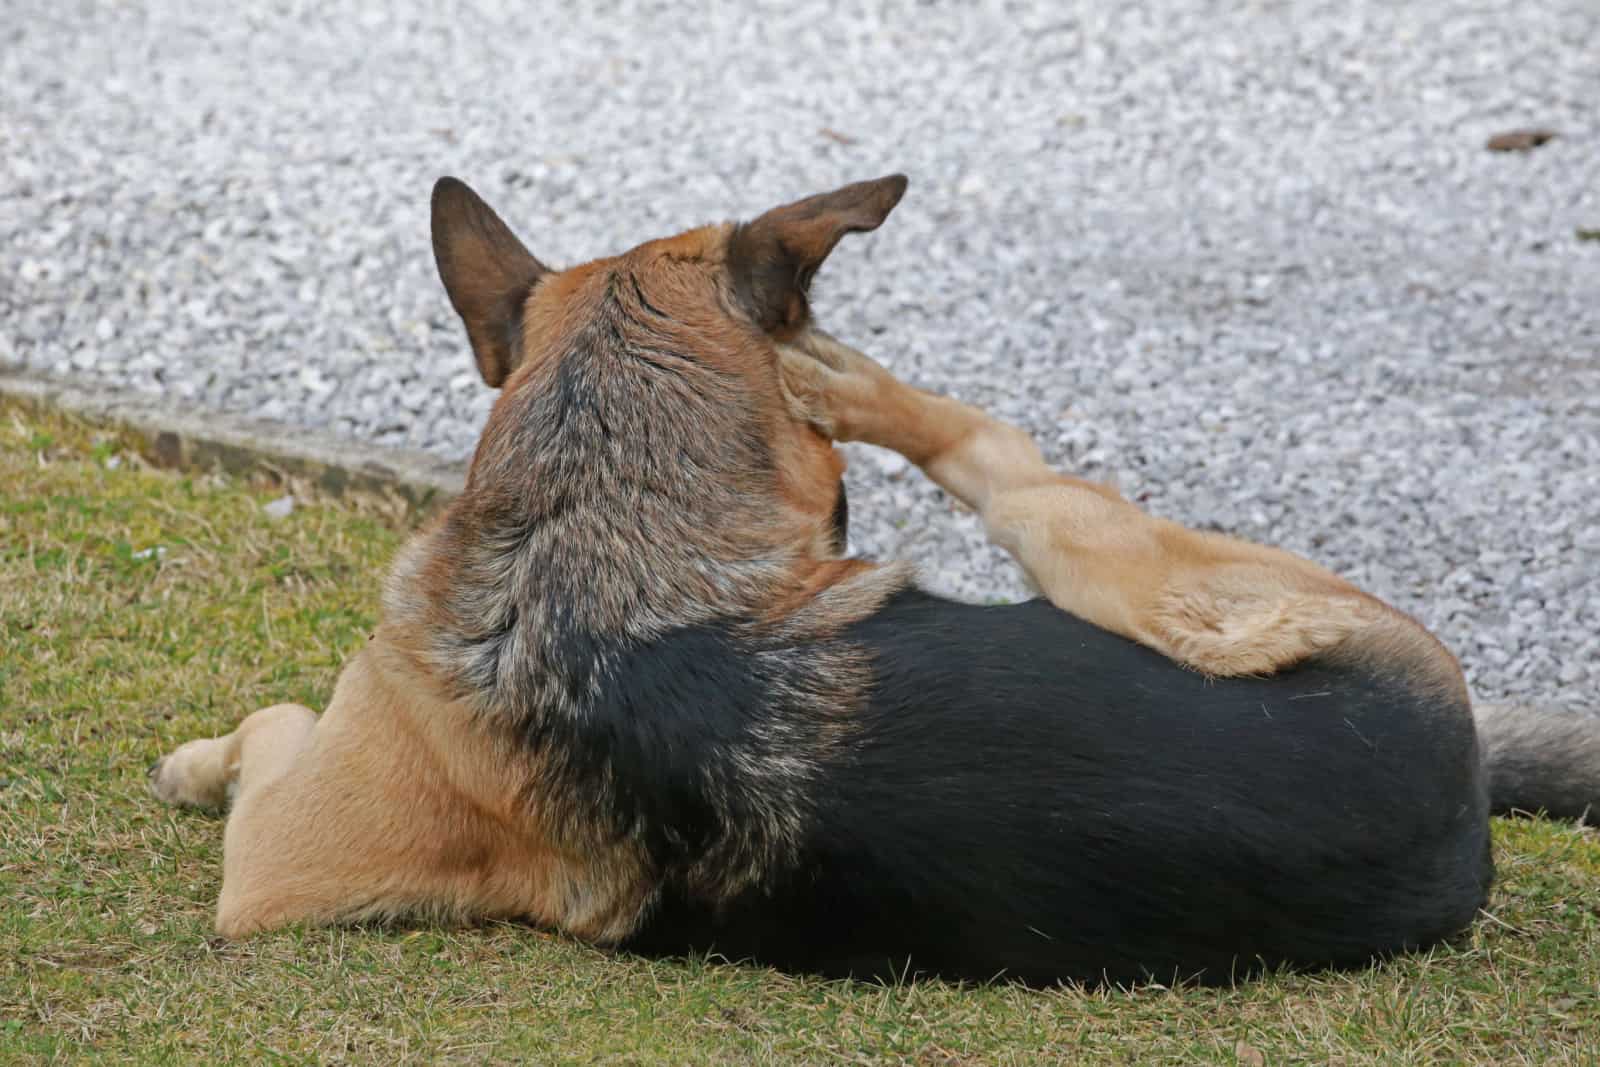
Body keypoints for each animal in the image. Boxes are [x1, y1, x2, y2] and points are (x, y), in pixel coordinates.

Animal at [152, 173, 1600, 985]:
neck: (595, 535)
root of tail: (1459, 801)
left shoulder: (276, 862)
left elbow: (274, 722)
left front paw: (199, 756)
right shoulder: (286, 868)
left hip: (1145, 569)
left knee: (1007, 459)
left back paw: (847, 377)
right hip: (1139, 571)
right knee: (1007, 460)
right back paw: (849, 378)